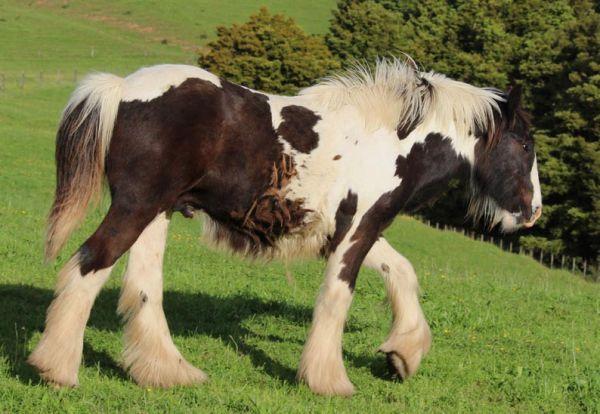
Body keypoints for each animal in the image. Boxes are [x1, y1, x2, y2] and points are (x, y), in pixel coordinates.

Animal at [29, 58, 544, 394]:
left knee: (142, 288)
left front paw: (403, 355)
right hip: (136, 208)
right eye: (523, 144)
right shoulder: (359, 228)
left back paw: (168, 373)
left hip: (158, 212)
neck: (391, 140)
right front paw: (328, 380)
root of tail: (121, 88)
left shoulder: (348, 229)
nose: (533, 211)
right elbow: (338, 297)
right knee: (89, 266)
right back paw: (58, 371)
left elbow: (402, 271)